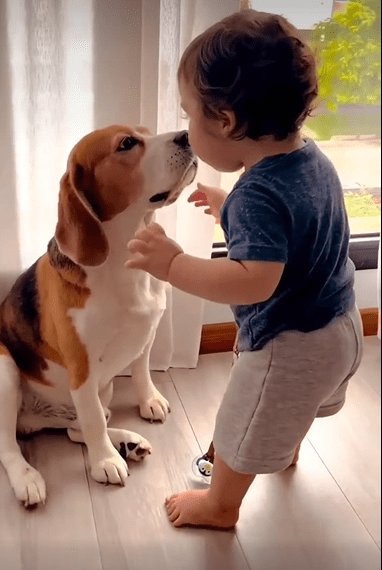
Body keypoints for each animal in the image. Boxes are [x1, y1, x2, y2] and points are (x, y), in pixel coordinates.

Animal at [0, 122, 197, 504]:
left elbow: (140, 373)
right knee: (11, 445)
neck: (122, 259)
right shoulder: (83, 369)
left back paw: (127, 441)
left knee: (79, 427)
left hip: (101, 390)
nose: (187, 136)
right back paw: (28, 479)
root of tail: (31, 416)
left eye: (147, 132)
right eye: (126, 144)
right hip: (4, 371)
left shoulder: (145, 336)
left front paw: (149, 401)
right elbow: (92, 421)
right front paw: (105, 461)